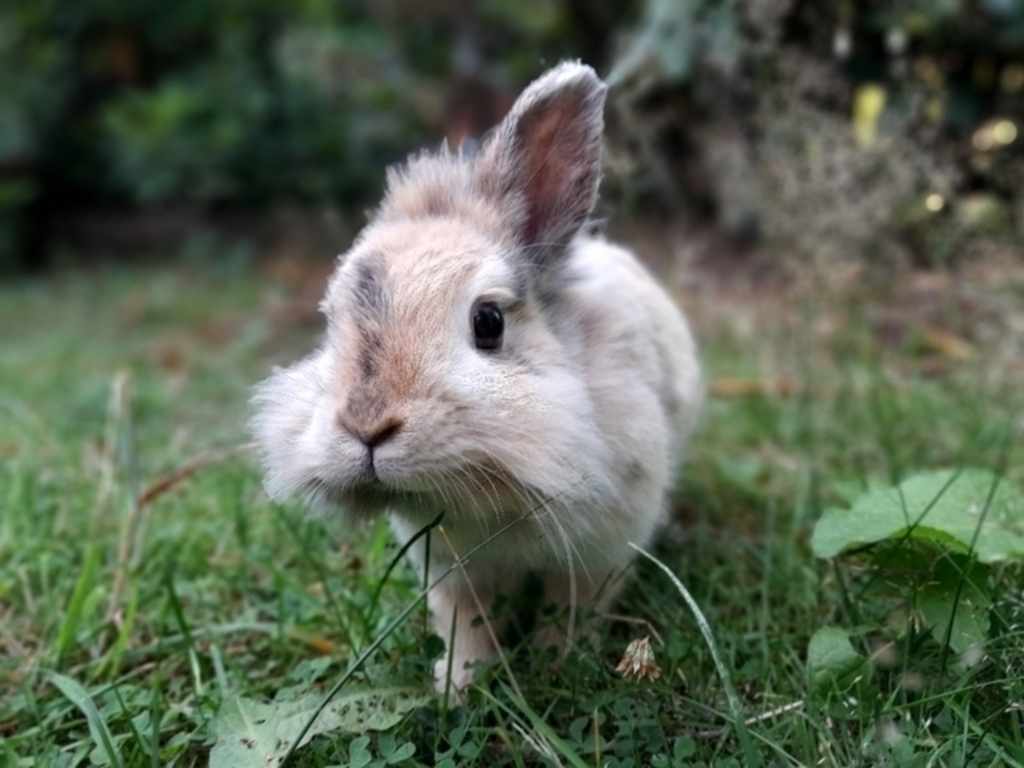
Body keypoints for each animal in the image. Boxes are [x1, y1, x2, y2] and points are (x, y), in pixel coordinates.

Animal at [251, 61, 702, 693]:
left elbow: (572, 611)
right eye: (331, 322)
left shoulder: (599, 556)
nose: (367, 426)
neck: (488, 500)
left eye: (488, 322)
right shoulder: (449, 569)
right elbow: (466, 622)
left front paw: (557, 668)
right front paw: (457, 685)